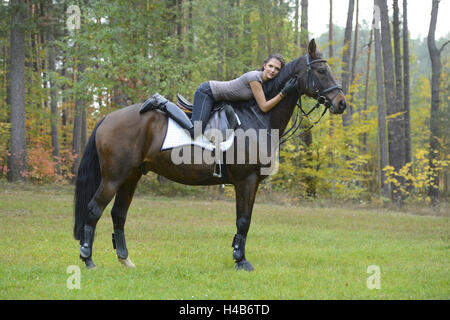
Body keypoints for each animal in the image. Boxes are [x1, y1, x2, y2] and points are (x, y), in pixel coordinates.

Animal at [74, 39, 348, 270]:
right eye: (321, 71)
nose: (342, 103)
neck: (258, 116)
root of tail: (108, 118)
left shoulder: (252, 183)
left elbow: (245, 220)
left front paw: (238, 255)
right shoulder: (246, 181)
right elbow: (243, 221)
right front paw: (241, 261)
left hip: (131, 176)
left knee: (118, 214)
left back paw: (126, 260)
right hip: (113, 178)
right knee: (93, 210)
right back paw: (88, 259)